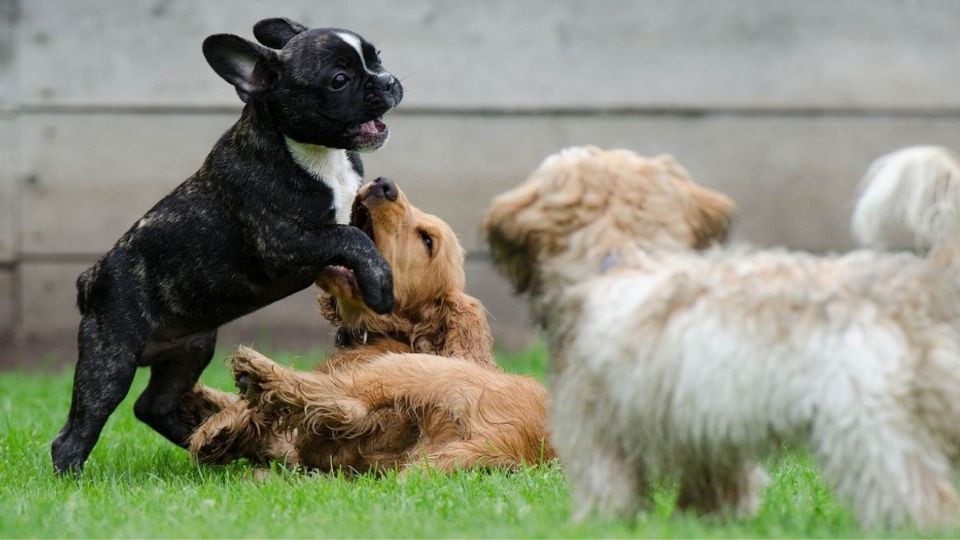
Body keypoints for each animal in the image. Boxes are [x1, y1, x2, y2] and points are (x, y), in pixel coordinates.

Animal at [484, 146, 960, 528]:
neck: (622, 258)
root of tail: (914, 289)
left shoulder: (597, 429)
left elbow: (609, 488)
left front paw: (598, 526)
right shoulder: (708, 436)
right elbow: (716, 490)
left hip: (870, 434)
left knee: (924, 500)